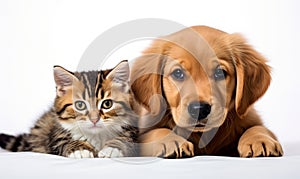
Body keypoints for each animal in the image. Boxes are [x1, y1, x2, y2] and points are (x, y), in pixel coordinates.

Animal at [0, 60, 138, 159]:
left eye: (107, 104)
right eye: (80, 105)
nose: (94, 119)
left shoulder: (133, 129)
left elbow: (127, 139)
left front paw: (112, 148)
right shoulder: (56, 133)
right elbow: (65, 140)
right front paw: (80, 150)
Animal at [131, 25, 284, 158]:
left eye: (220, 72)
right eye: (178, 73)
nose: (199, 109)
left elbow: (258, 128)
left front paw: (260, 140)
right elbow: (156, 132)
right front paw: (171, 141)